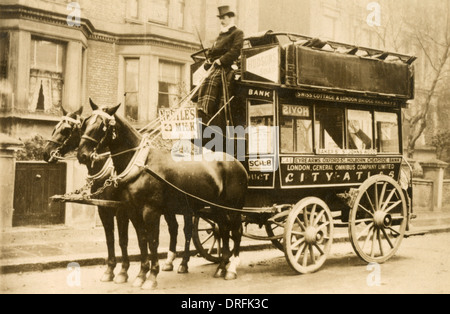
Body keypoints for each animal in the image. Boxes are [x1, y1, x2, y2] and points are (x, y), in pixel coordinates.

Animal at [76, 100, 246, 290]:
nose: (82, 155)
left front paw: (151, 276)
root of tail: (238, 164)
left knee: (235, 232)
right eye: (85, 123)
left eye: (102, 126)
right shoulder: (132, 211)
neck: (141, 164)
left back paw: (231, 268)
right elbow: (141, 240)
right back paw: (221, 267)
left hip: (233, 208)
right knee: (223, 230)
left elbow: (152, 241)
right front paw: (141, 274)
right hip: (217, 209)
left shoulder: (150, 211)